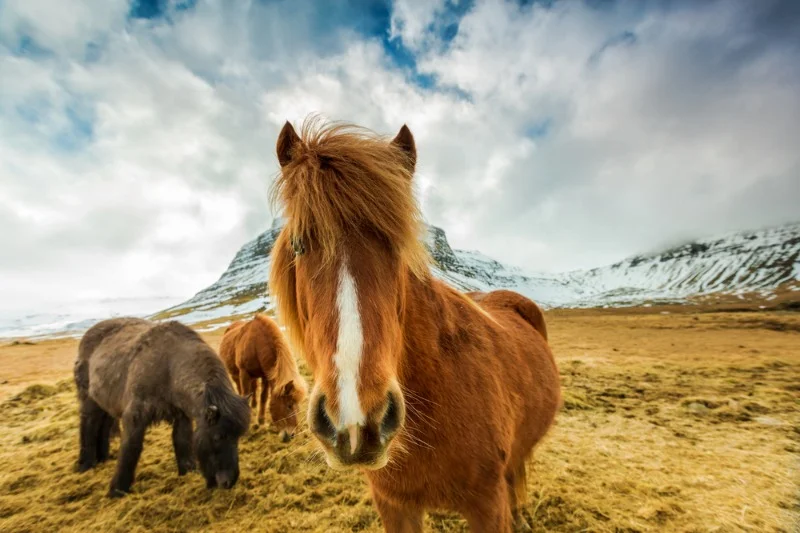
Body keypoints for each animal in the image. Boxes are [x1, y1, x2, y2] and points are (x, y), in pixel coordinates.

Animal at [219, 312, 310, 440]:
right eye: (289, 405)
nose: (291, 435)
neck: (255, 345)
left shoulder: (266, 376)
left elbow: (264, 397)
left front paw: (261, 422)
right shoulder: (244, 373)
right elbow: (246, 394)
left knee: (254, 389)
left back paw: (254, 406)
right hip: (236, 375)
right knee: (240, 388)